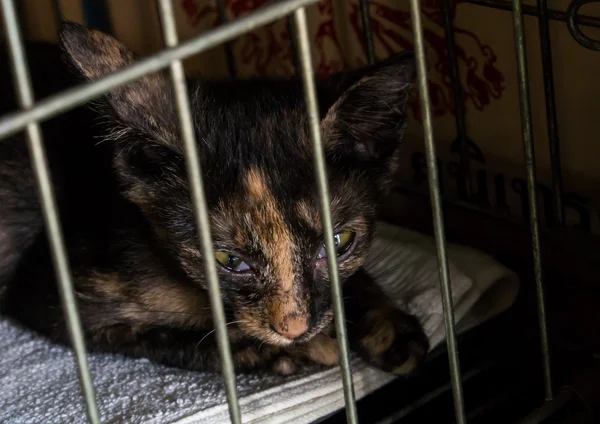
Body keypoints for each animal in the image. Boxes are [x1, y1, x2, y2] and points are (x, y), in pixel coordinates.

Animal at [0, 21, 426, 376]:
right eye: (229, 260)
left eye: (340, 242)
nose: (294, 328)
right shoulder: (50, 293)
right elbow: (164, 335)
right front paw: (293, 350)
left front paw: (389, 325)